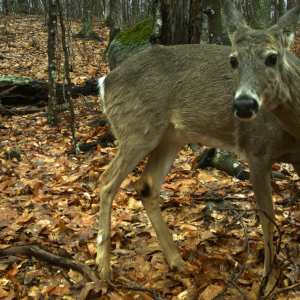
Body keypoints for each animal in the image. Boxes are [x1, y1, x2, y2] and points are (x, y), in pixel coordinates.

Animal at [95, 1, 300, 284]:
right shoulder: (256, 150)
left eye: (273, 57)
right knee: (106, 181)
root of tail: (105, 82)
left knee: (146, 185)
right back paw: (103, 268)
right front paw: (268, 281)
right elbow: (267, 219)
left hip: (170, 137)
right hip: (137, 130)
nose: (244, 105)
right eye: (233, 60)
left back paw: (177, 261)